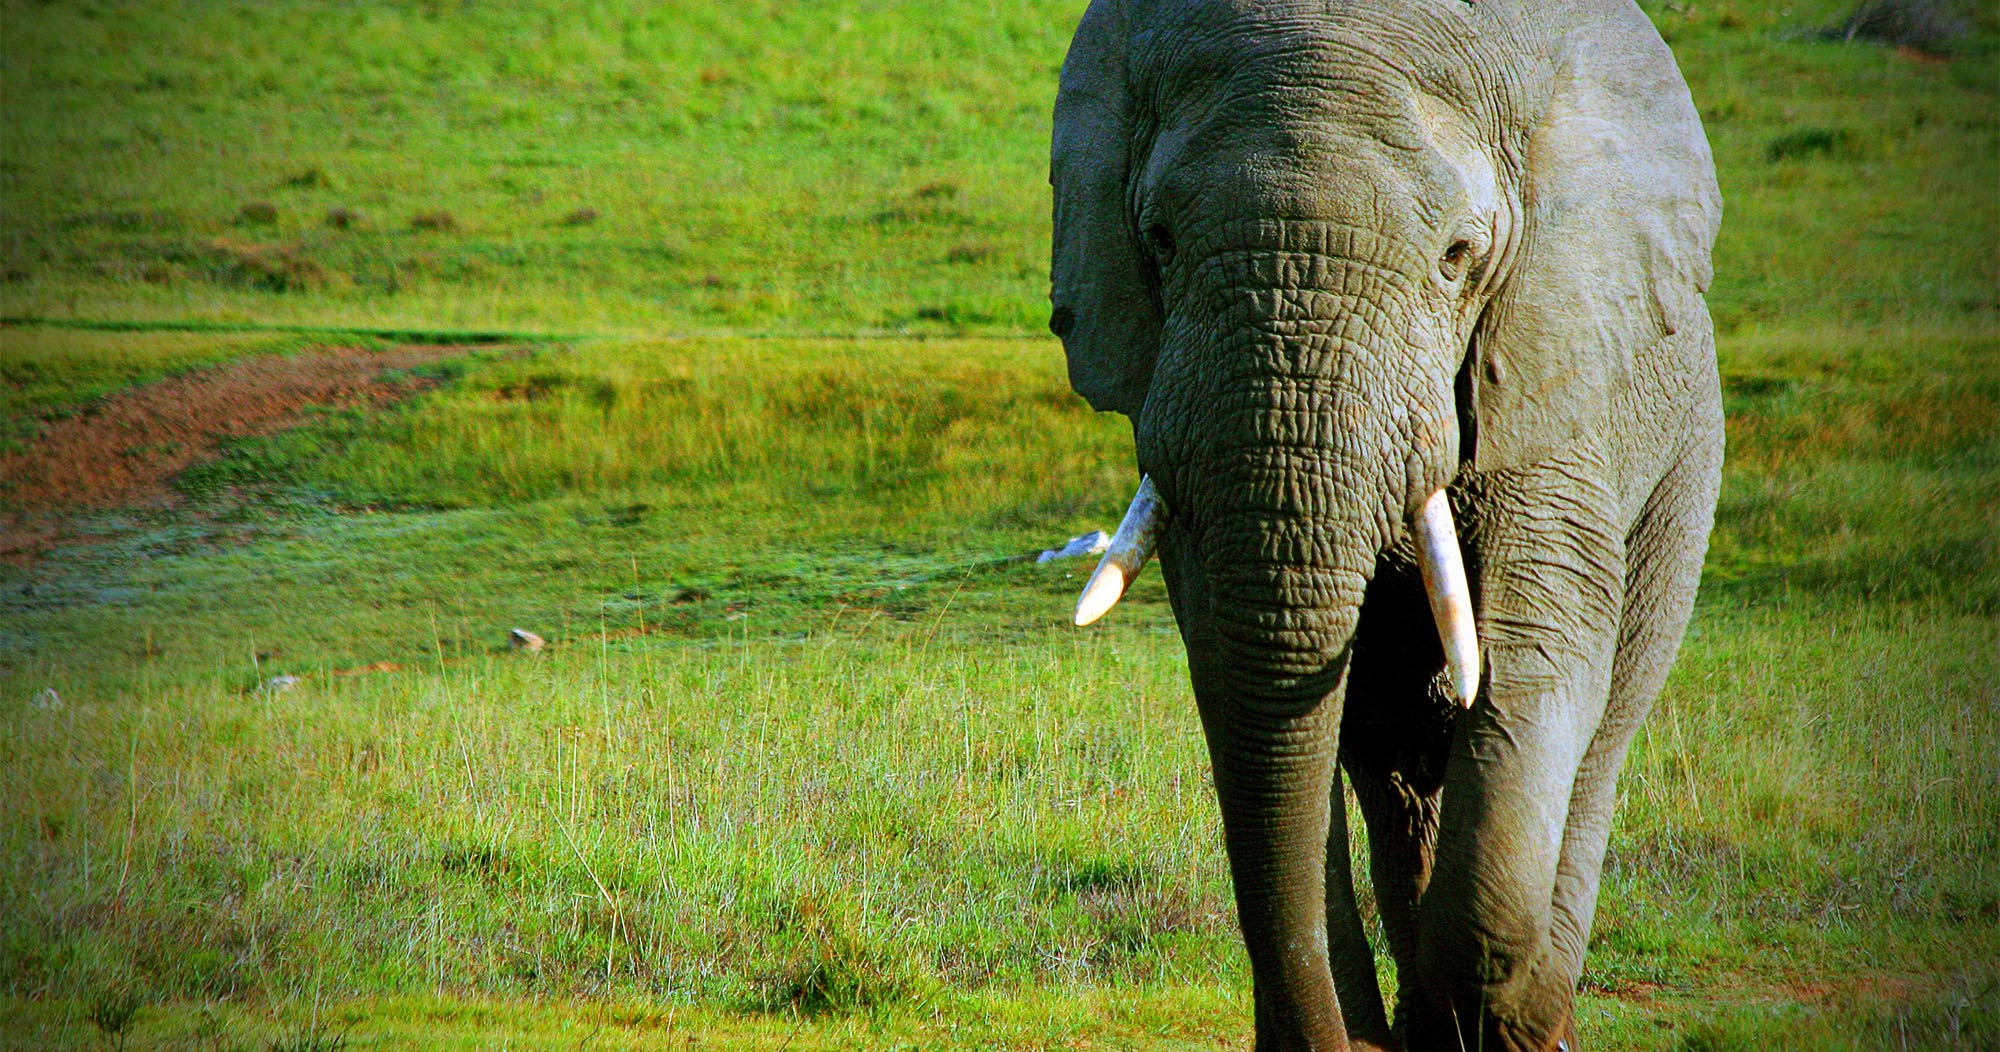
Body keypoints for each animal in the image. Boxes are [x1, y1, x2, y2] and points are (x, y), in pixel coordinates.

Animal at [1056, 2, 1728, 1052]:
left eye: (1458, 257)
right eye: (1158, 240)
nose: (1346, 1042)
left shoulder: (1552, 356)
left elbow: (1544, 640)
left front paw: (1491, 1012)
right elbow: (1235, 666)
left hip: (1681, 475)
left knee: (1602, 732)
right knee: (1393, 765)